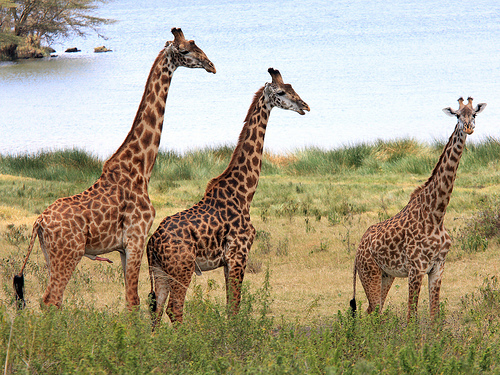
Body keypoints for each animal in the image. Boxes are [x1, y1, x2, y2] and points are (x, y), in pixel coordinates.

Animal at [12, 27, 216, 310]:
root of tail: (39, 222)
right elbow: (133, 300)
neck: (141, 168)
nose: (211, 65)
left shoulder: (122, 247)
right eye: (185, 50)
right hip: (68, 254)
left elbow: (132, 298)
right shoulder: (136, 237)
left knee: (50, 300)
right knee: (51, 299)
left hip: (50, 254)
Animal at [145, 69, 308, 328]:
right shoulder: (238, 255)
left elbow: (230, 305)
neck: (244, 194)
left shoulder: (226, 261)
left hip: (159, 271)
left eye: (293, 88)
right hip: (182, 269)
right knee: (174, 309)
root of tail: (152, 243)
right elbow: (234, 307)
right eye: (282, 92)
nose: (304, 106)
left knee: (156, 310)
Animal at [350, 98, 486, 322]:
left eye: (474, 114)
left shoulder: (438, 266)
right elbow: (411, 317)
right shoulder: (416, 269)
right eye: (457, 115)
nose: (468, 127)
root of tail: (358, 250)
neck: (437, 213)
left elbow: (434, 314)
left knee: (375, 310)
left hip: (386, 275)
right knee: (371, 311)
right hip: (369, 272)